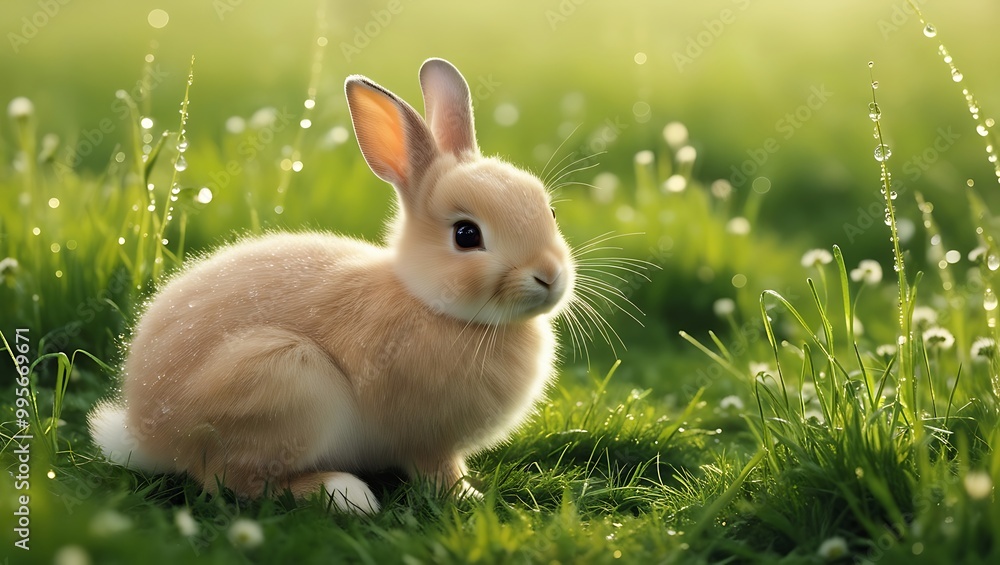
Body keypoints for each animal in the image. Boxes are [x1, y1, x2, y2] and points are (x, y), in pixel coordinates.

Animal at [88, 58, 575, 515]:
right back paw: (344, 494)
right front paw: (469, 497)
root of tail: (148, 433)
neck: (428, 303)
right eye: (466, 235)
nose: (549, 276)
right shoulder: (428, 443)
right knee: (233, 482)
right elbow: (439, 473)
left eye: (550, 211)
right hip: (285, 381)